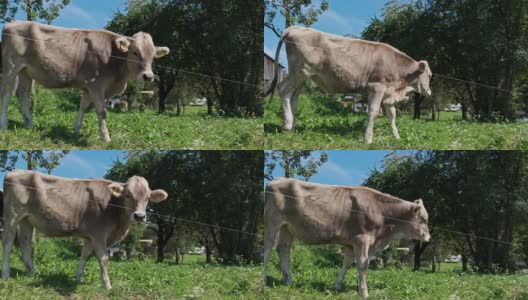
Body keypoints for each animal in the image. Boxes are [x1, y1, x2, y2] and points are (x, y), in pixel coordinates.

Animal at [0, 21, 169, 141]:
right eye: (135, 52)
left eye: (153, 56)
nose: (148, 76)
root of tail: (11, 23)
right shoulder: (96, 85)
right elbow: (102, 111)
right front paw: (106, 137)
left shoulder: (88, 87)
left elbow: (83, 108)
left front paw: (76, 131)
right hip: (11, 67)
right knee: (6, 94)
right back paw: (4, 126)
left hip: (25, 71)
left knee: (23, 94)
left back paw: (29, 125)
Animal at [0, 169, 169, 288]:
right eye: (128, 195)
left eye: (147, 198)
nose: (139, 216)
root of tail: (14, 171)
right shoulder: (99, 235)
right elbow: (103, 259)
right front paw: (107, 285)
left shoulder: (90, 236)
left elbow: (84, 255)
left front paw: (78, 277)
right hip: (13, 215)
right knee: (8, 242)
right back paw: (6, 273)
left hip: (27, 220)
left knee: (25, 243)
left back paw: (31, 273)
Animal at [262, 178, 432, 298]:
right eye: (424, 219)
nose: (428, 238)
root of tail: (275, 180)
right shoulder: (362, 239)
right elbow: (362, 265)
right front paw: (364, 292)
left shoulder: (351, 243)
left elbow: (347, 263)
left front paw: (337, 285)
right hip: (272, 222)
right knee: (268, 250)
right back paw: (263, 280)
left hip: (286, 228)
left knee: (283, 250)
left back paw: (288, 281)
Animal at [268, 26, 434, 144]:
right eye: (430, 75)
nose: (430, 92)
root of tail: (295, 28)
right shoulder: (377, 87)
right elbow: (373, 112)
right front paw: (368, 139)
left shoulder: (388, 94)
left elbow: (392, 115)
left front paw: (396, 136)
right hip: (300, 71)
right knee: (283, 89)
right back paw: (288, 123)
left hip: (302, 76)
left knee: (293, 97)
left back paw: (292, 126)